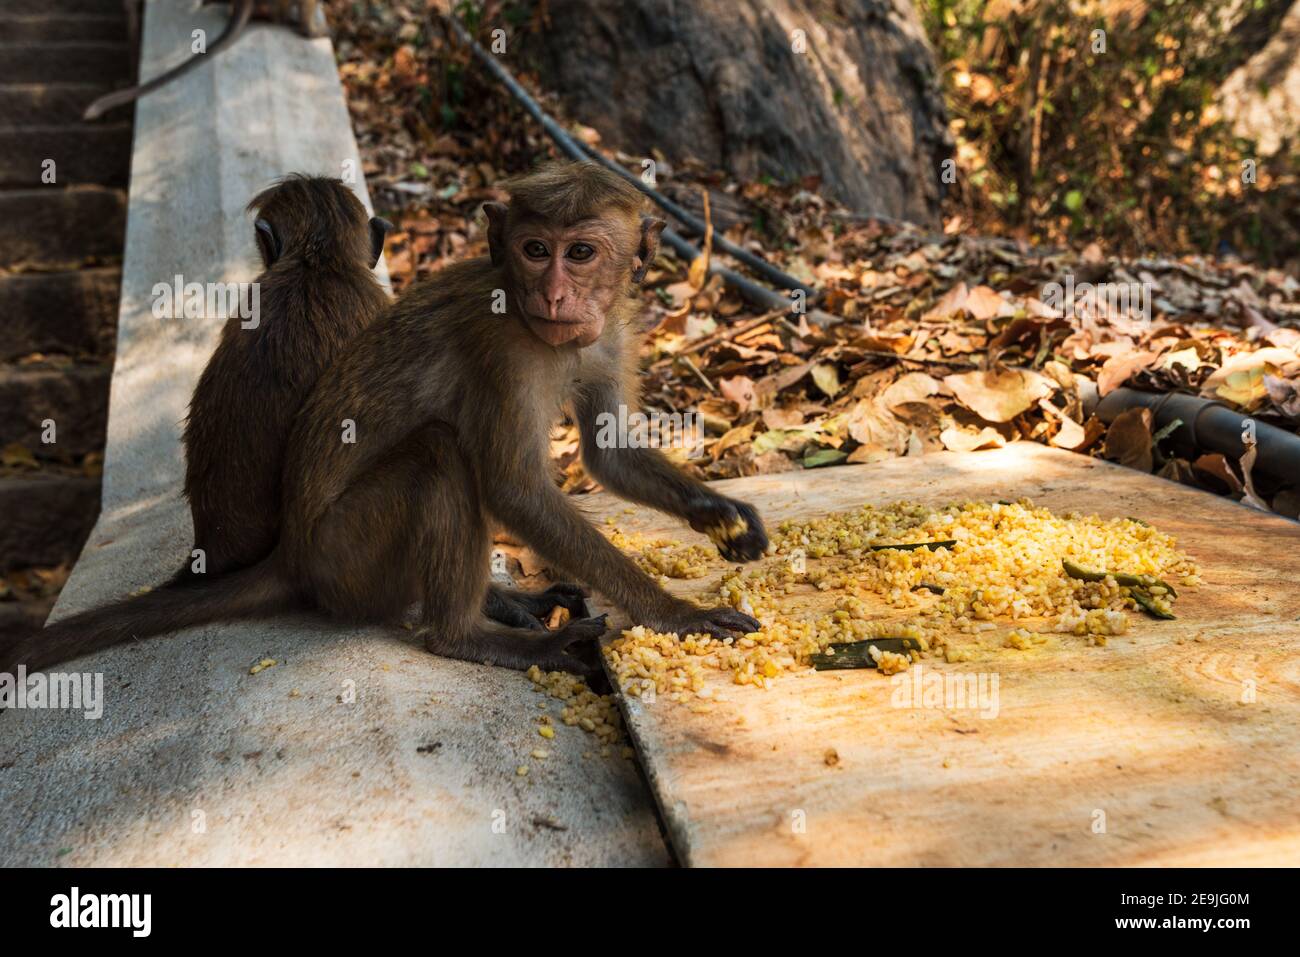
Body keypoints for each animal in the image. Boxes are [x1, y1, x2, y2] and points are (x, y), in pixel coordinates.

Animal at [0, 161, 766, 679]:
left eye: (580, 252)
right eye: (534, 249)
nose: (554, 293)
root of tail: (294, 556)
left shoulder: (609, 337)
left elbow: (610, 456)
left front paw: (722, 515)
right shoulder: (500, 348)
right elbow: (514, 488)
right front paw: (677, 614)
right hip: (348, 555)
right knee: (439, 453)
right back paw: (468, 634)